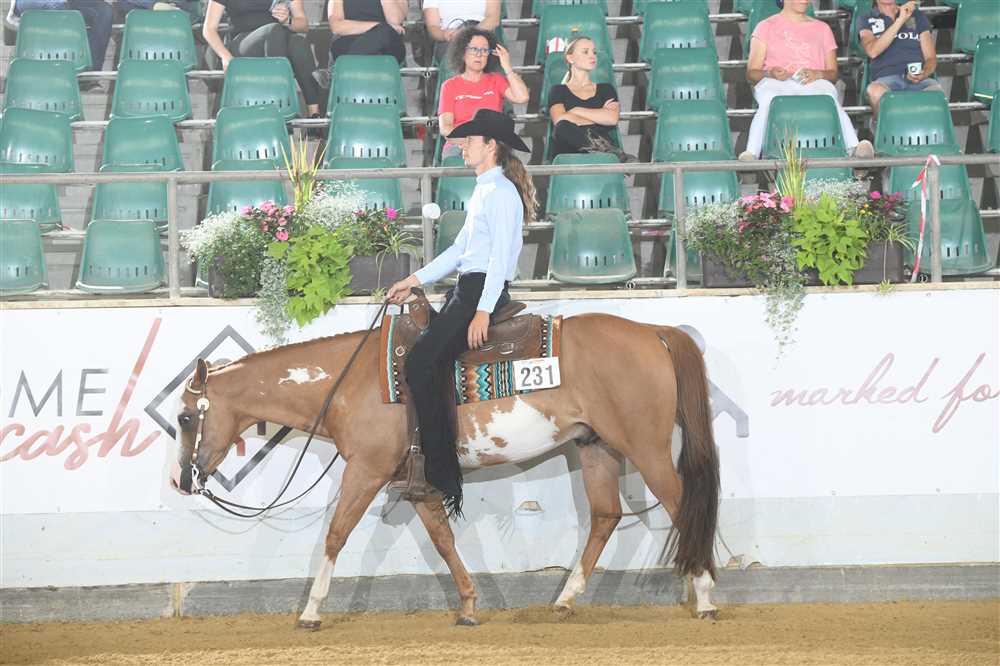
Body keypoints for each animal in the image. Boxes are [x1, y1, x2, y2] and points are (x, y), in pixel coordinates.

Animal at [170, 310, 721, 629]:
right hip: (596, 447)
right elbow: (442, 539)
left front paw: (310, 611)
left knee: (682, 505)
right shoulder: (421, 481)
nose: (179, 481)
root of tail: (653, 332)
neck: (349, 382)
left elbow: (336, 533)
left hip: (646, 447)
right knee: (605, 517)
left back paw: (706, 598)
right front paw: (469, 606)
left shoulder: (366, 470)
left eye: (184, 417)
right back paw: (565, 600)